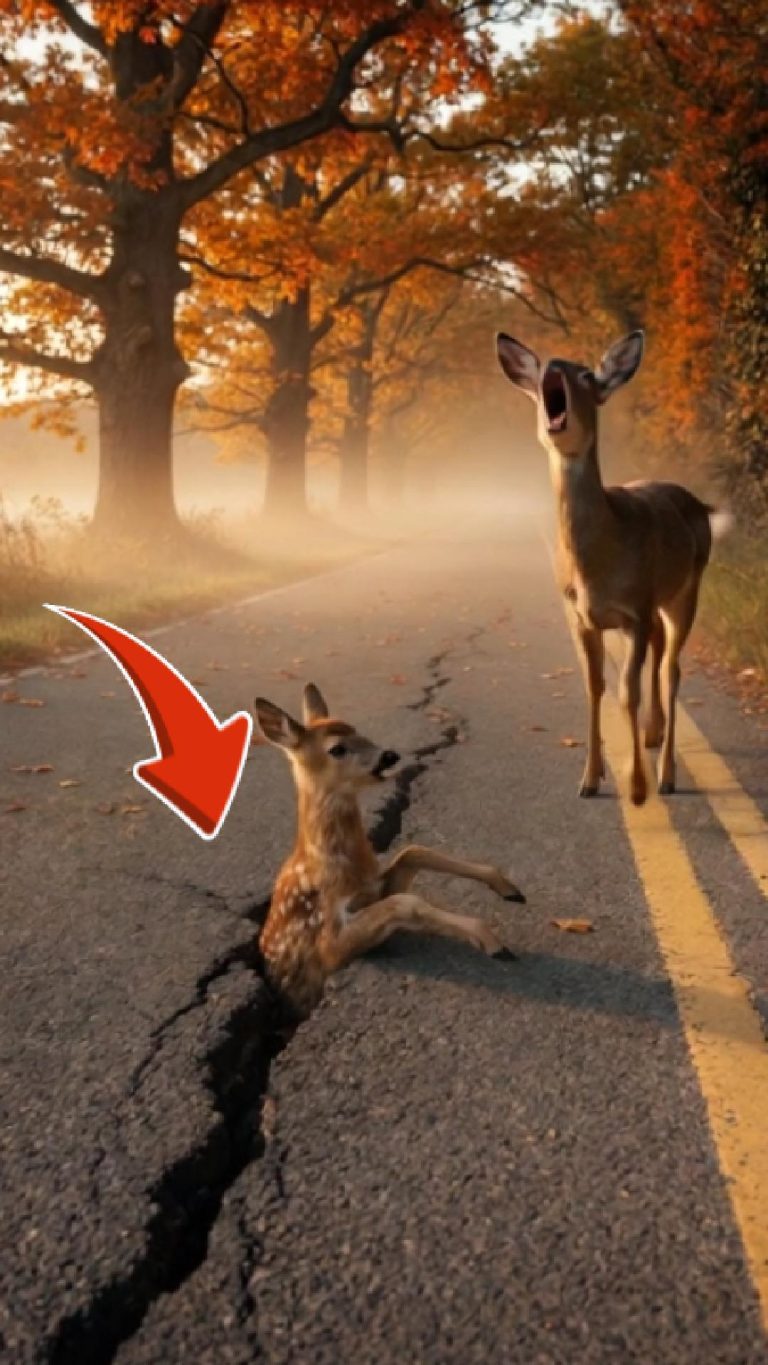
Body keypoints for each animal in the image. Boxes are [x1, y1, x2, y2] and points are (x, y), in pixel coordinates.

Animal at [254, 684, 525, 1016]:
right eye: (337, 749)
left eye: (358, 730)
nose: (389, 755)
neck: (335, 862)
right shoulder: (327, 945)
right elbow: (405, 902)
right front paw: (491, 941)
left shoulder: (372, 890)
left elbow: (413, 851)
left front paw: (506, 886)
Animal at [496, 328, 724, 807]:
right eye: (541, 371)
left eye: (587, 374)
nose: (553, 366)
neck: (597, 566)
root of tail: (698, 502)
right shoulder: (583, 615)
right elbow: (594, 686)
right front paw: (589, 778)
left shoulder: (634, 611)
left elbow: (626, 693)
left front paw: (636, 787)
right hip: (659, 602)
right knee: (661, 652)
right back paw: (653, 735)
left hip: (686, 589)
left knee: (672, 668)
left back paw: (667, 773)